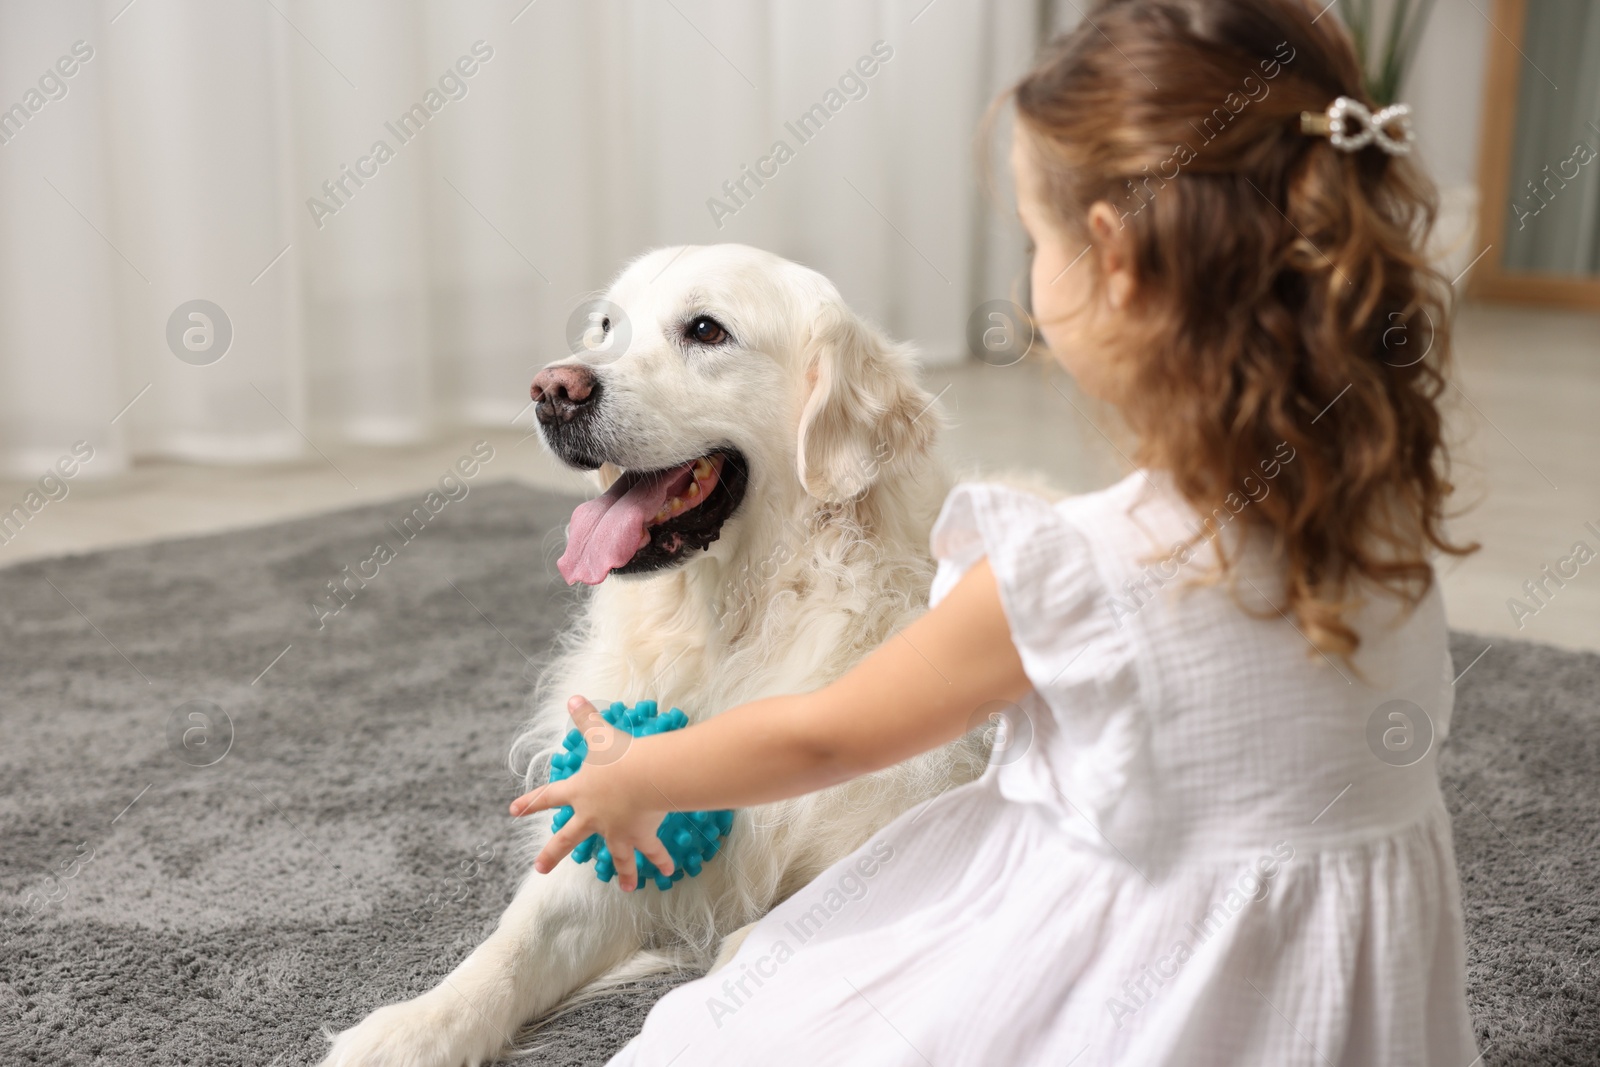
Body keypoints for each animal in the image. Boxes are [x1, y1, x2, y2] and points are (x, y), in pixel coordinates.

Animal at [320, 244, 985, 1067]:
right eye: (607, 326)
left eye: (706, 330)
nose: (552, 389)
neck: (737, 626)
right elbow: (513, 943)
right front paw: (410, 1027)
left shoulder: (882, 846)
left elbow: (763, 938)